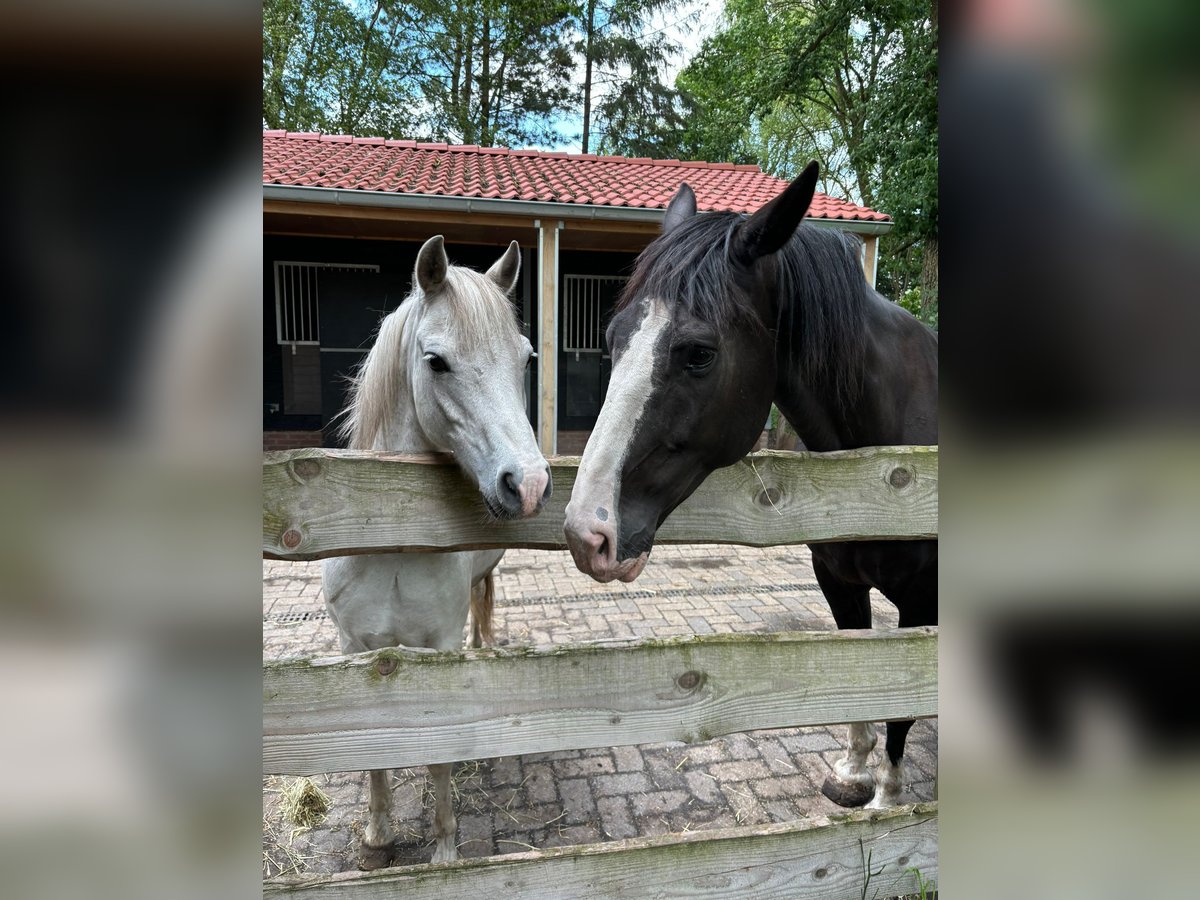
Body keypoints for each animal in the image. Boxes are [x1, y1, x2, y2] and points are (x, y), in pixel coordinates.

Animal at [321, 236, 549, 868]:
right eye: (436, 362)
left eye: (526, 359)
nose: (529, 485)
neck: (395, 544)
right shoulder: (355, 650)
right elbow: (373, 752)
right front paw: (377, 839)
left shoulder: (441, 645)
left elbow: (441, 755)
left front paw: (445, 851)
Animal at [561, 165, 936, 816]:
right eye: (612, 336)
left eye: (699, 353)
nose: (589, 533)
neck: (888, 472)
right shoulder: (838, 581)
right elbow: (860, 668)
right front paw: (852, 772)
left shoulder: (920, 605)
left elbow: (901, 707)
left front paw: (887, 798)